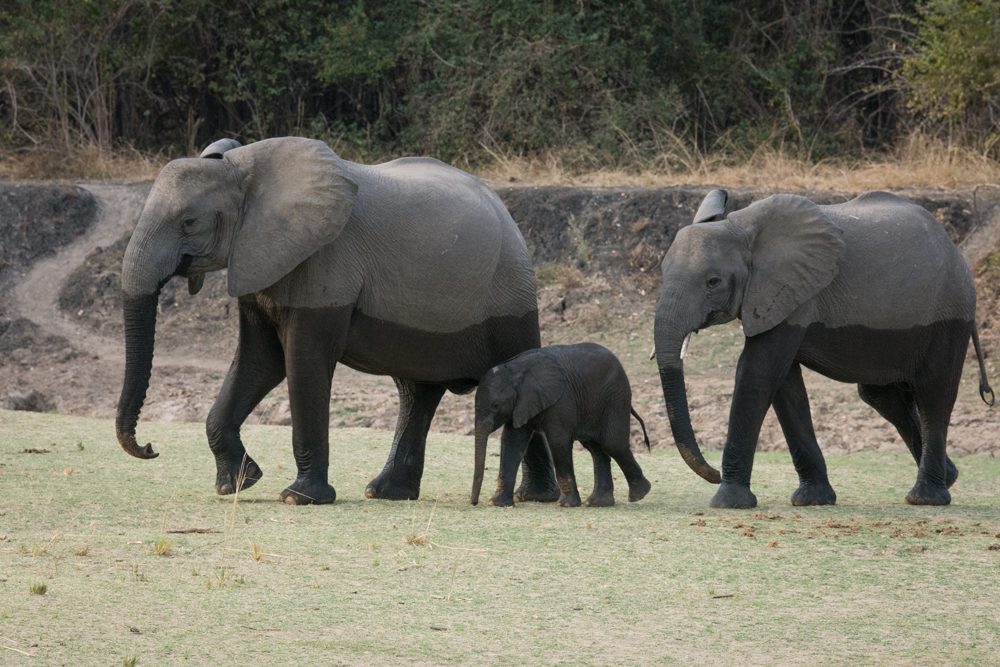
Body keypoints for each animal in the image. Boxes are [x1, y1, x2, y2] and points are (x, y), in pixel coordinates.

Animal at [117, 137, 560, 506]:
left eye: (188, 221)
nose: (150, 448)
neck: (243, 167)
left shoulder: (324, 259)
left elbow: (302, 362)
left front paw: (298, 498)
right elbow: (259, 360)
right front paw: (238, 484)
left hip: (510, 296)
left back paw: (536, 497)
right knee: (416, 393)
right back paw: (386, 493)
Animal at [472, 344, 652, 506]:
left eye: (495, 405)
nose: (474, 503)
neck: (515, 370)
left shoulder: (561, 401)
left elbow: (558, 441)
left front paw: (566, 504)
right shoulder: (520, 405)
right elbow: (511, 442)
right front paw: (497, 503)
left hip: (615, 398)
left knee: (612, 444)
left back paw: (639, 494)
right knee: (596, 449)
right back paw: (598, 503)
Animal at [656, 190, 992, 508]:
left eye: (713, 282)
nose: (712, 473)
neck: (741, 227)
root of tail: (955, 250)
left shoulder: (793, 292)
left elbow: (757, 372)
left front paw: (728, 501)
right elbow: (784, 384)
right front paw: (811, 499)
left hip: (950, 315)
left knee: (934, 392)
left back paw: (926, 497)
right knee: (883, 396)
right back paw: (950, 477)